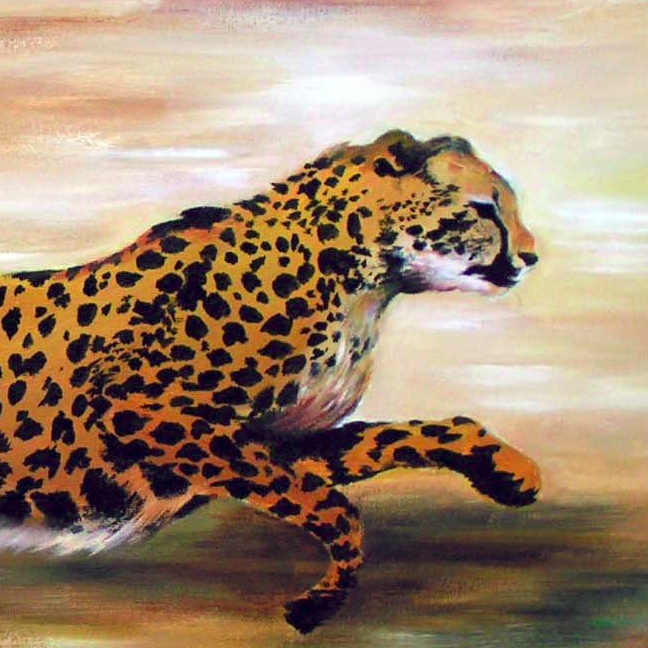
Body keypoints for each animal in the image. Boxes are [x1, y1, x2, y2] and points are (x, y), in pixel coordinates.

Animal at [0, 129, 540, 633]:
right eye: (483, 209)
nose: (532, 255)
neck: (361, 281)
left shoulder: (275, 439)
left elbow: (398, 439)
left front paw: (508, 470)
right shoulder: (138, 409)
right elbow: (332, 506)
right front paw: (321, 601)